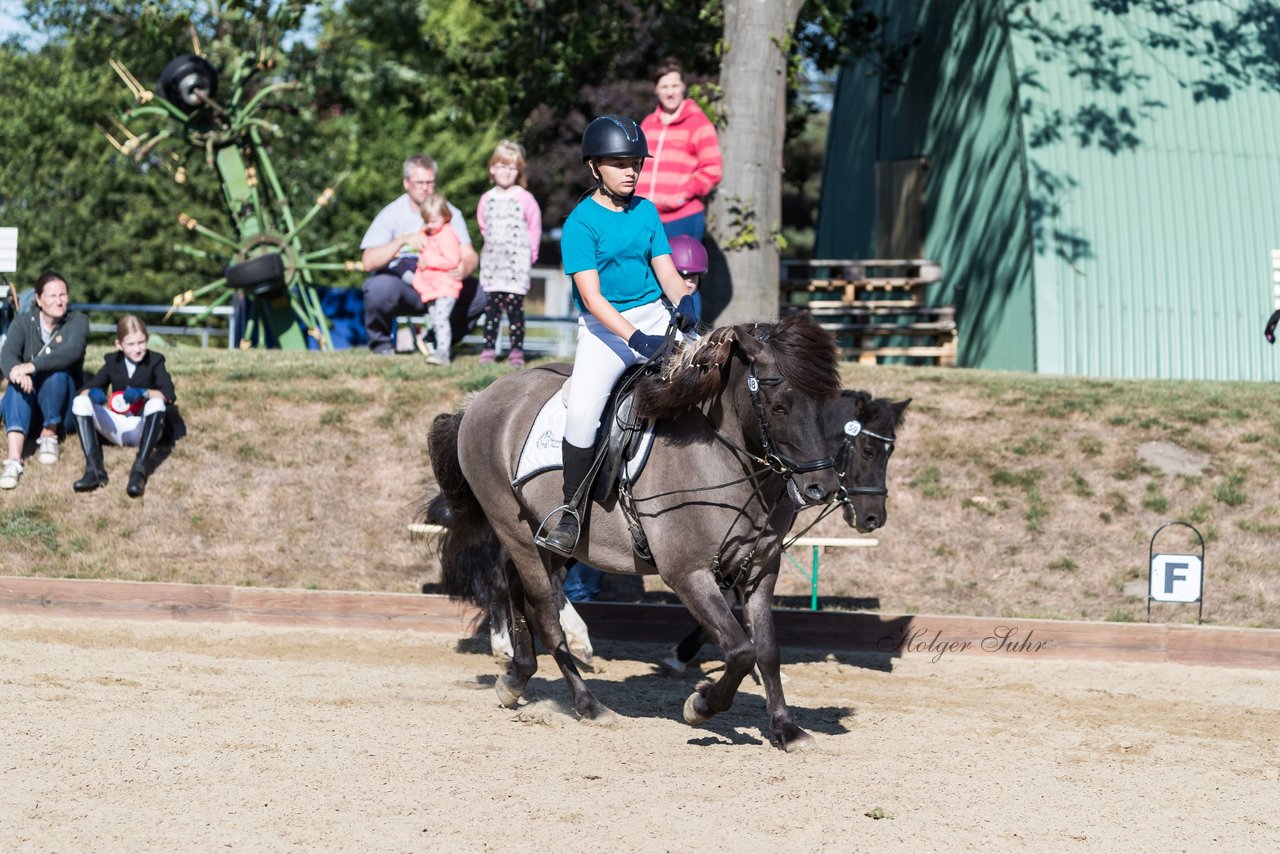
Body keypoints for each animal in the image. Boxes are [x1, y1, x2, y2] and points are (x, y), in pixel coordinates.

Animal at [430, 312, 844, 747]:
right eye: (779, 406)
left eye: (827, 406)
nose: (822, 487)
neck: (723, 457)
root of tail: (481, 398)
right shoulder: (687, 572)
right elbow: (740, 650)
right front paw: (700, 706)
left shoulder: (760, 568)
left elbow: (766, 649)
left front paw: (786, 729)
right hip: (512, 526)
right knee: (543, 611)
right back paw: (588, 705)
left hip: (550, 543)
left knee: (515, 584)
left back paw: (516, 678)